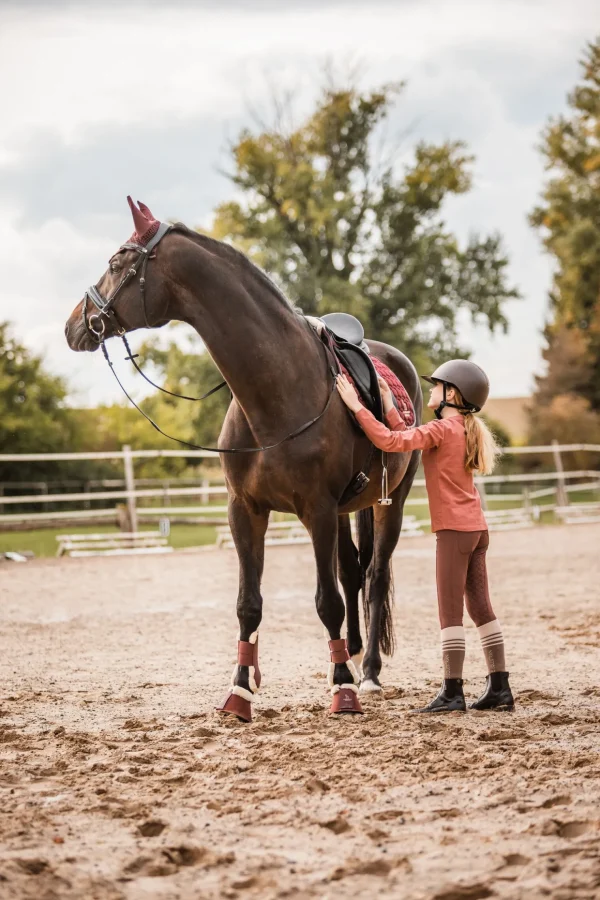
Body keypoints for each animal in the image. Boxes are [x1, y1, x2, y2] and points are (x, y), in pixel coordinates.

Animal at [64, 200, 422, 720]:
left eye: (115, 263)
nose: (74, 324)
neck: (276, 389)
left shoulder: (315, 510)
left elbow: (326, 602)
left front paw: (342, 688)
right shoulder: (245, 511)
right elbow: (248, 603)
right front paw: (239, 691)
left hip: (389, 500)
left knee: (374, 577)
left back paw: (369, 672)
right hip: (344, 510)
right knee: (353, 571)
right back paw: (353, 655)